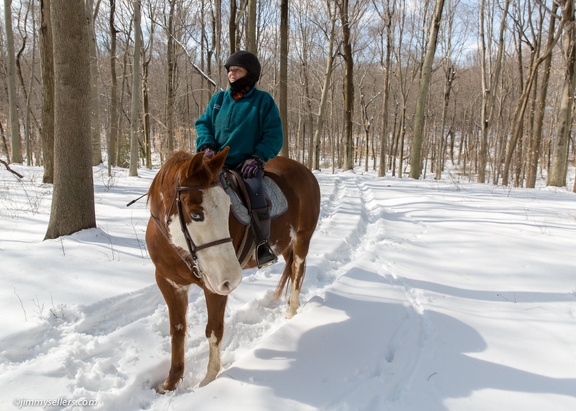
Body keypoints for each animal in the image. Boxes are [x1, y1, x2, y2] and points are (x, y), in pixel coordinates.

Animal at [146, 147, 322, 392]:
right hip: (286, 243)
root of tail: (306, 171)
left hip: (302, 238)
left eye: (229, 208)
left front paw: (209, 380)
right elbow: (177, 331)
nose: (233, 278)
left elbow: (214, 330)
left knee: (297, 270)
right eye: (196, 214)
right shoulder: (169, 283)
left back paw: (292, 312)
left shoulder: (215, 286)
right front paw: (170, 383)